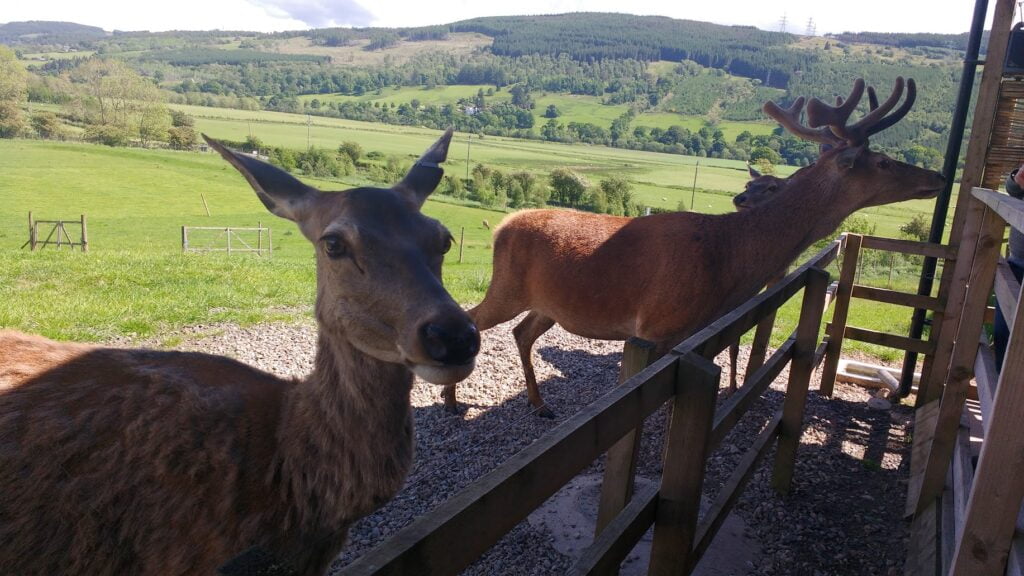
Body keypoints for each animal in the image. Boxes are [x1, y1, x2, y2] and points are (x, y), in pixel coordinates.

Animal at [448, 78, 942, 414]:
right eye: (882, 161)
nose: (936, 177)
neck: (729, 260)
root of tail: (502, 225)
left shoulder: (696, 330)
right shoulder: (656, 327)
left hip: (549, 303)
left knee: (521, 333)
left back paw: (538, 402)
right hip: (507, 286)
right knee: (475, 319)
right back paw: (453, 401)